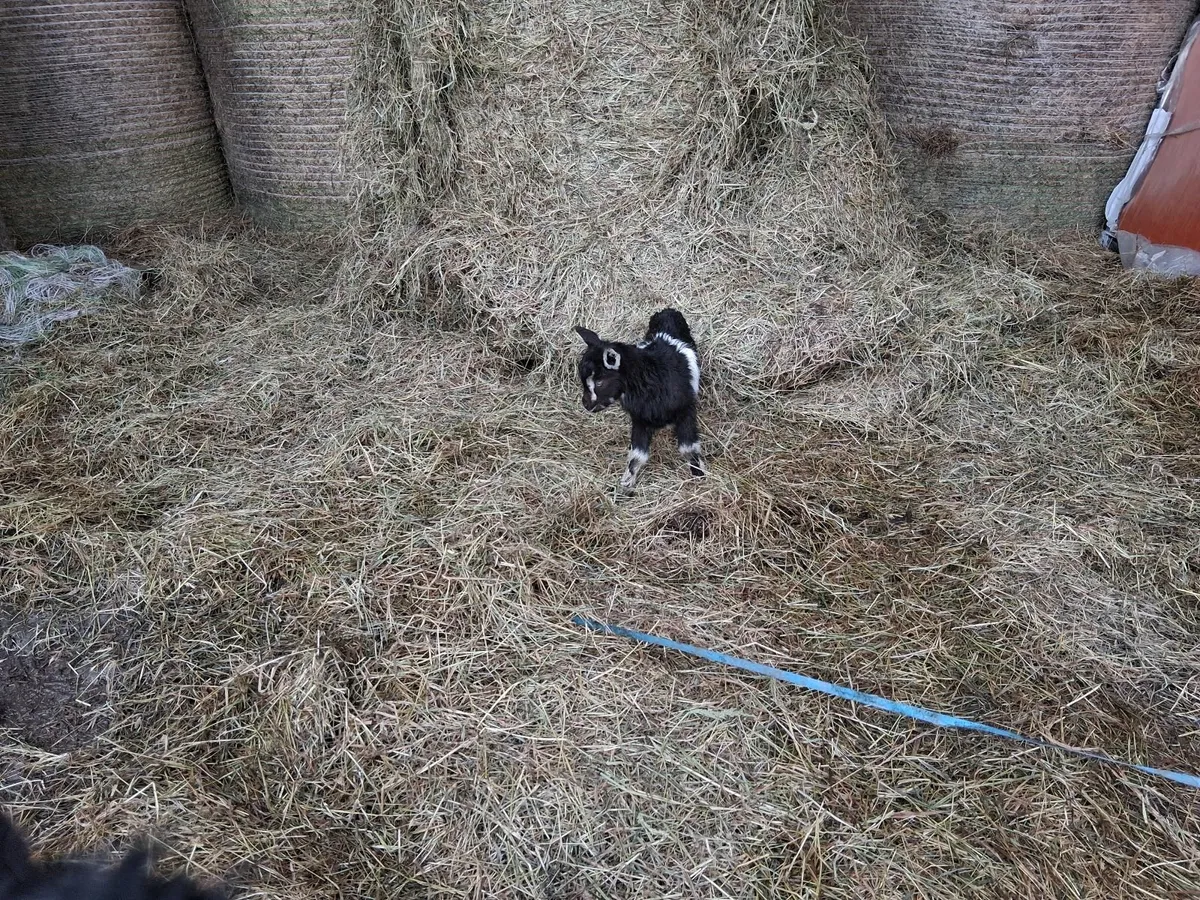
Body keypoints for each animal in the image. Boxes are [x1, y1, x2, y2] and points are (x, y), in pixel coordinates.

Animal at [574, 307, 705, 490]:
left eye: (599, 381)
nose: (586, 405)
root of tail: (667, 311)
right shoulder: (640, 419)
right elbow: (637, 455)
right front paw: (627, 483)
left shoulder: (686, 411)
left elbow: (688, 448)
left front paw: (699, 473)